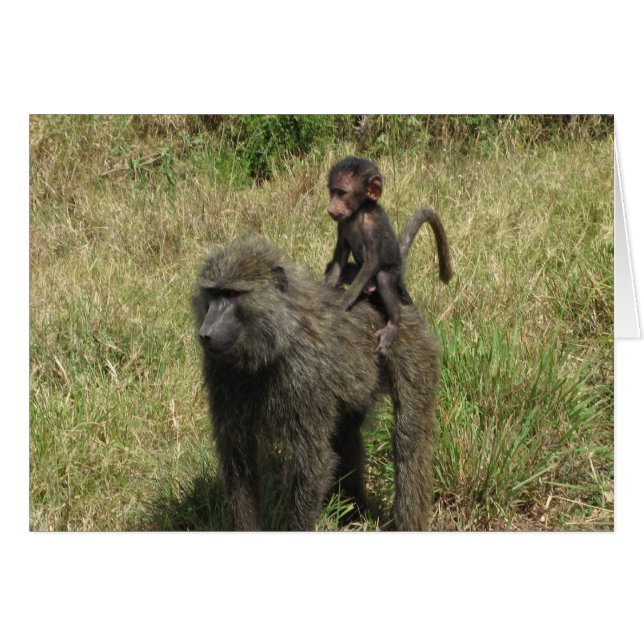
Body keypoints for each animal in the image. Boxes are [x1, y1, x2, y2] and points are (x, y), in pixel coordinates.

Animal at [194, 221, 441, 531]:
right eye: (213, 294)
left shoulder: (304, 377)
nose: (206, 333)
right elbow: (238, 457)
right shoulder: (221, 371)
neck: (276, 338)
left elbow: (313, 462)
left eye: (232, 295)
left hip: (412, 349)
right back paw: (354, 512)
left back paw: (407, 523)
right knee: (347, 432)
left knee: (409, 439)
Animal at [324, 156, 452, 356]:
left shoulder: (372, 225)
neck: (359, 212)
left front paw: (342, 304)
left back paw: (394, 323)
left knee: (383, 278)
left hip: (393, 275)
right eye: (332, 192)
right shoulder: (343, 223)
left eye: (341, 193)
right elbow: (339, 258)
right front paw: (328, 287)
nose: (330, 209)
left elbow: (372, 263)